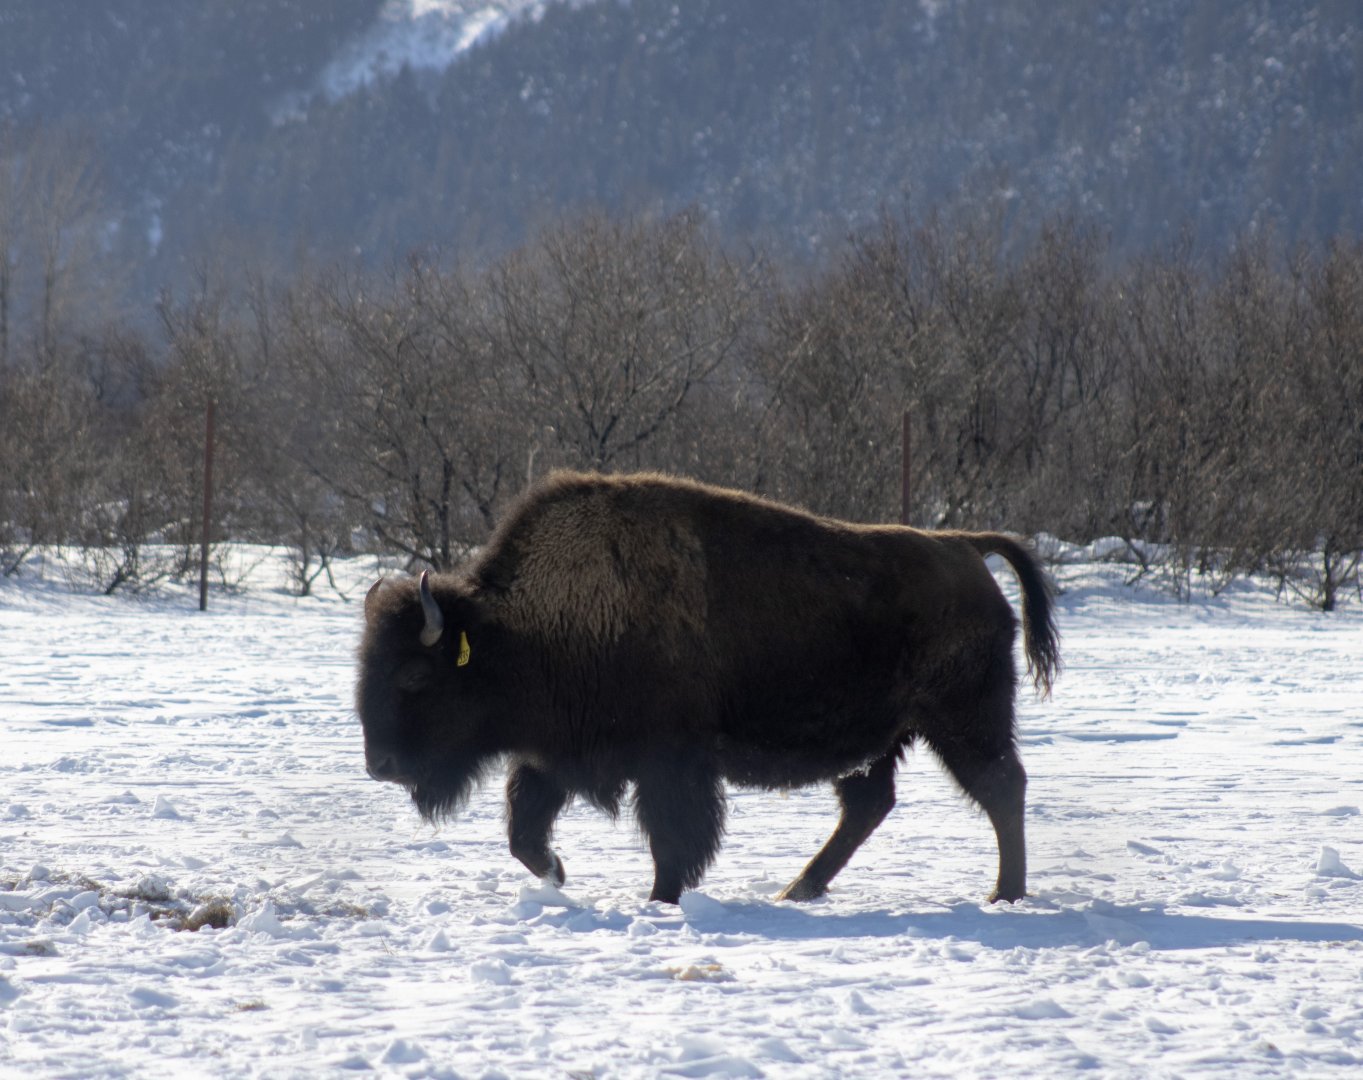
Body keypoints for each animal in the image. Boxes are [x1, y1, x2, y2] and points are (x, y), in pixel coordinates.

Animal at [358, 471, 1059, 904]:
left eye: (416, 675)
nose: (380, 765)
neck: (519, 627)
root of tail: (963, 546)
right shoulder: (551, 758)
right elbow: (524, 831)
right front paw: (558, 874)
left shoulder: (671, 764)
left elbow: (674, 841)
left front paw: (661, 900)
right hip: (882, 740)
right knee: (869, 804)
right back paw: (798, 889)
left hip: (963, 718)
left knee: (1001, 786)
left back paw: (1004, 893)